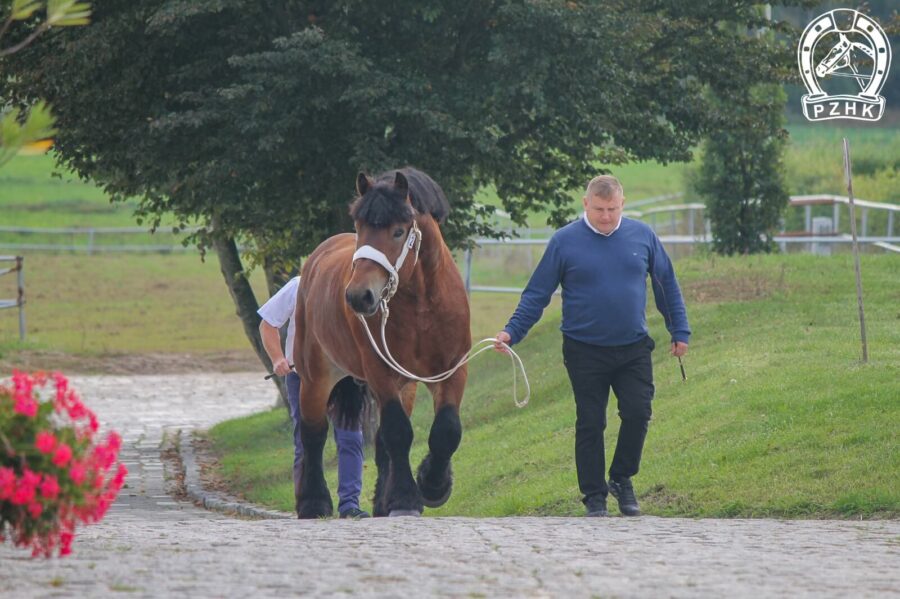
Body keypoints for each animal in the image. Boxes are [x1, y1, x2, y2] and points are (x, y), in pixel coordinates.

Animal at [292, 166, 472, 516]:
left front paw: (433, 485)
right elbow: (398, 432)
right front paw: (405, 498)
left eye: (399, 231)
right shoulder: (380, 373)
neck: (422, 305)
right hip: (315, 375)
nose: (358, 296)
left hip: (406, 385)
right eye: (359, 227)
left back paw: (381, 503)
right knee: (313, 434)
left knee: (378, 445)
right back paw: (313, 502)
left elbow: (447, 429)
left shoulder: (451, 370)